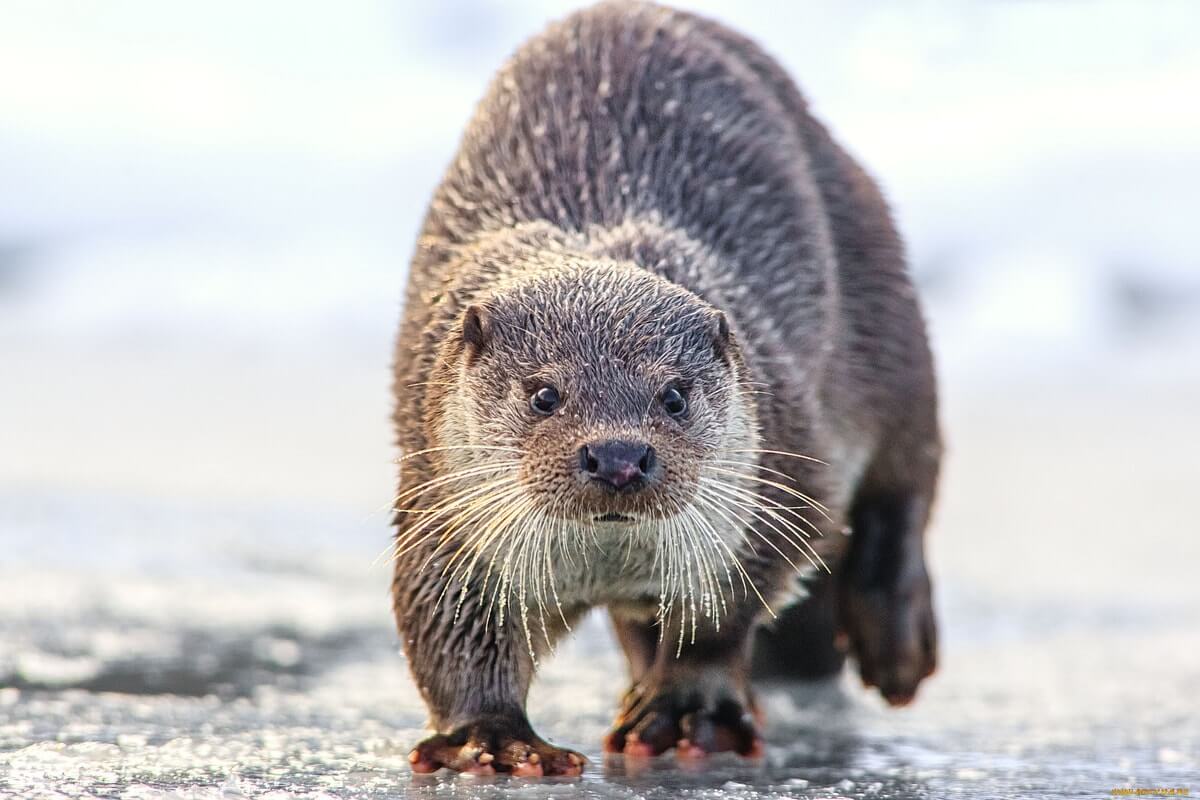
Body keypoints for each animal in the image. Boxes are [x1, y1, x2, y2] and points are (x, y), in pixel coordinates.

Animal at [388, 0, 940, 777]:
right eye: (544, 395)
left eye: (673, 396)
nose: (618, 456)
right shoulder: (442, 503)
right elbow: (445, 618)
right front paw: (489, 736)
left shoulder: (779, 473)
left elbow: (725, 610)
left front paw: (688, 708)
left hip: (887, 313)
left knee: (906, 481)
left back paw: (896, 647)